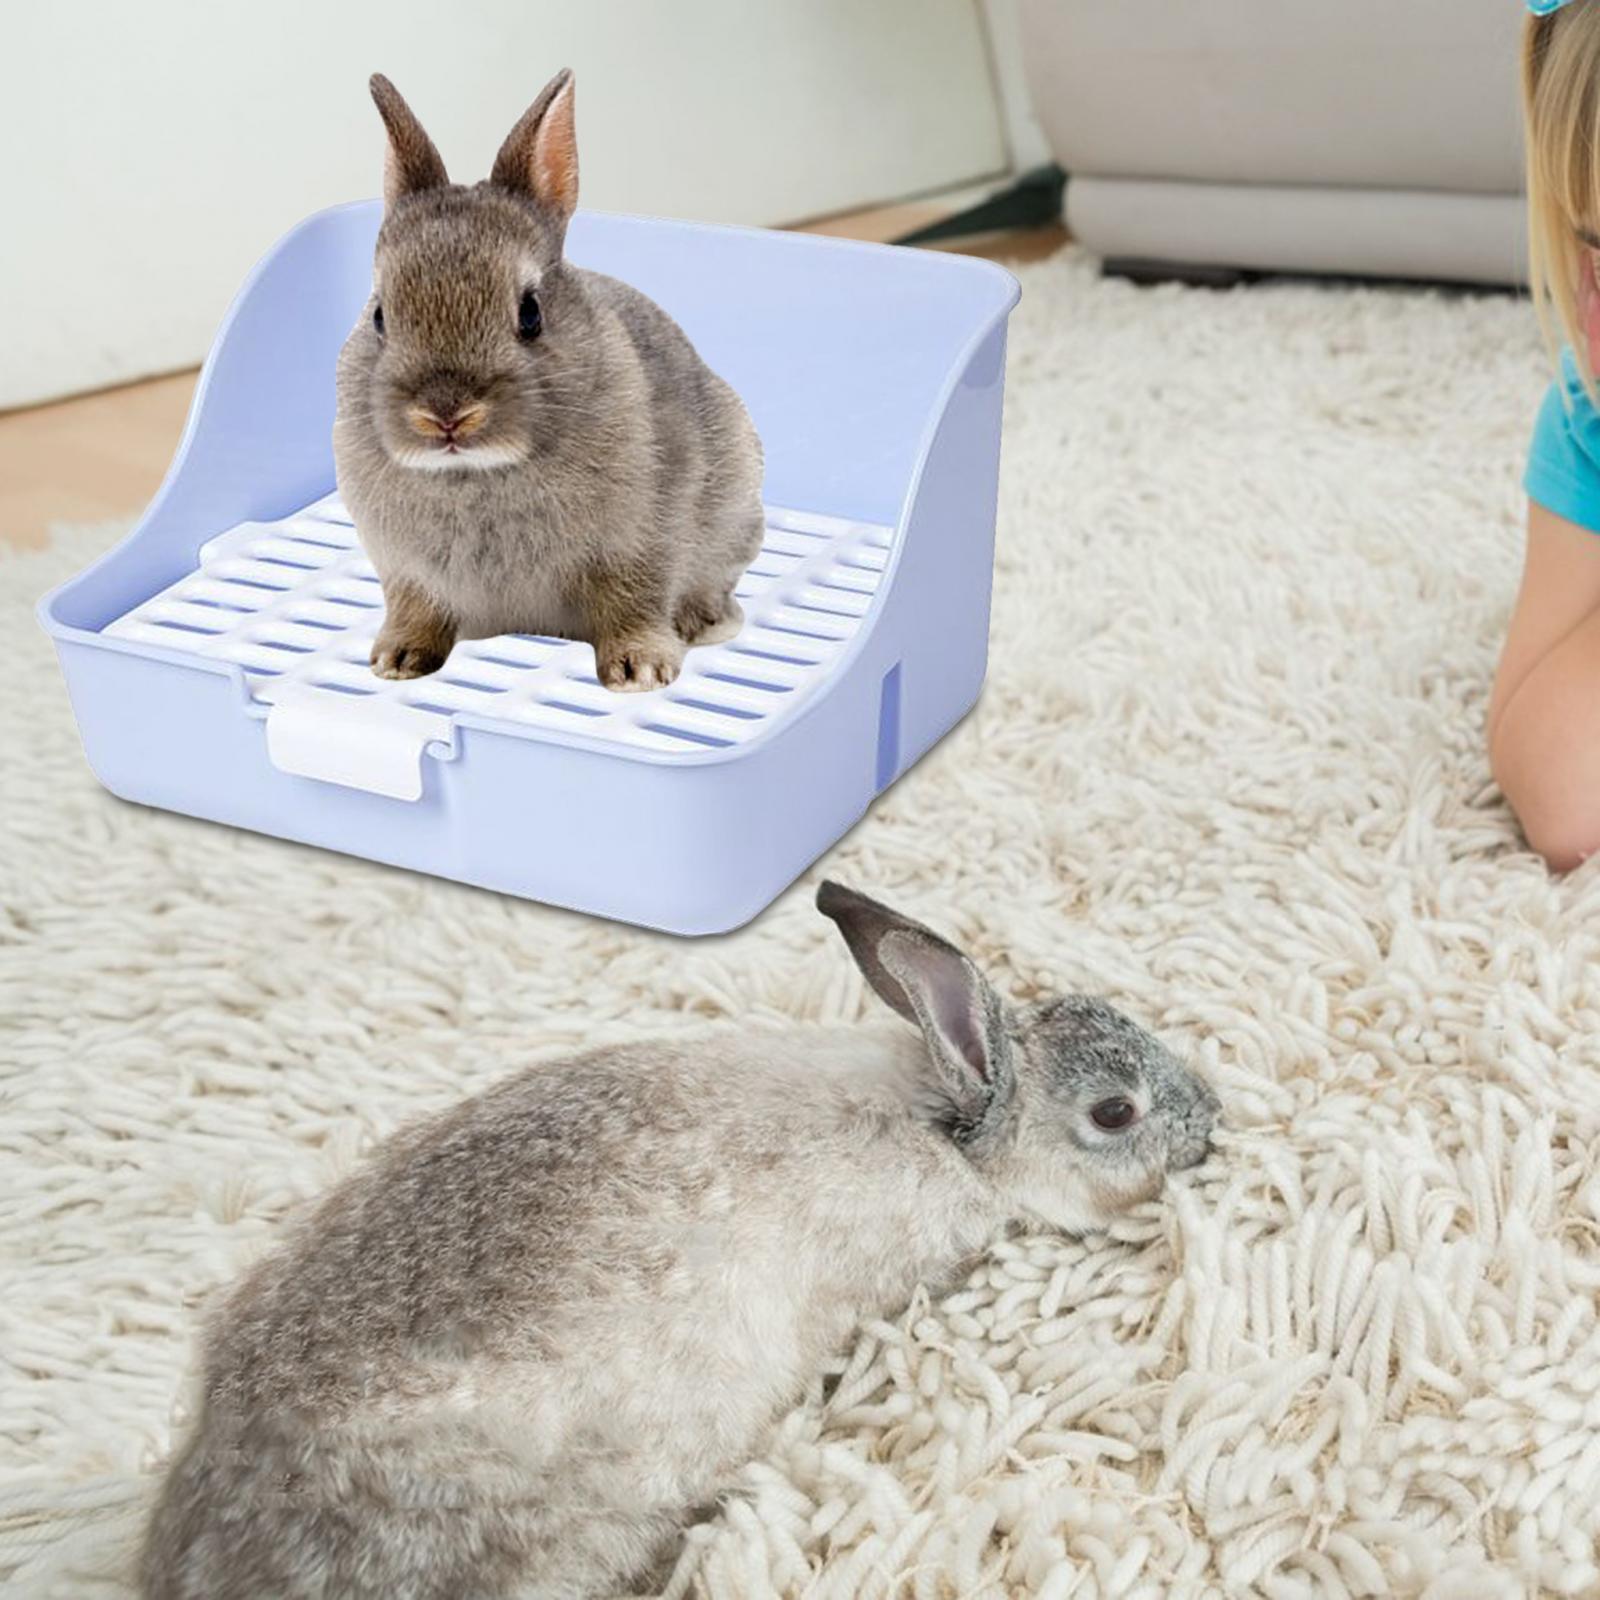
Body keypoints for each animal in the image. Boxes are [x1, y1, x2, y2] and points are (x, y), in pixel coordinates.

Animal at [332, 70, 765, 692]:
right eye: (380, 316)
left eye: (531, 312)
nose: (445, 414)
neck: (477, 471)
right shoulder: (405, 571)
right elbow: (414, 609)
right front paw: (397, 661)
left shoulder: (639, 545)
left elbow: (634, 602)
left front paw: (639, 672)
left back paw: (705, 623)